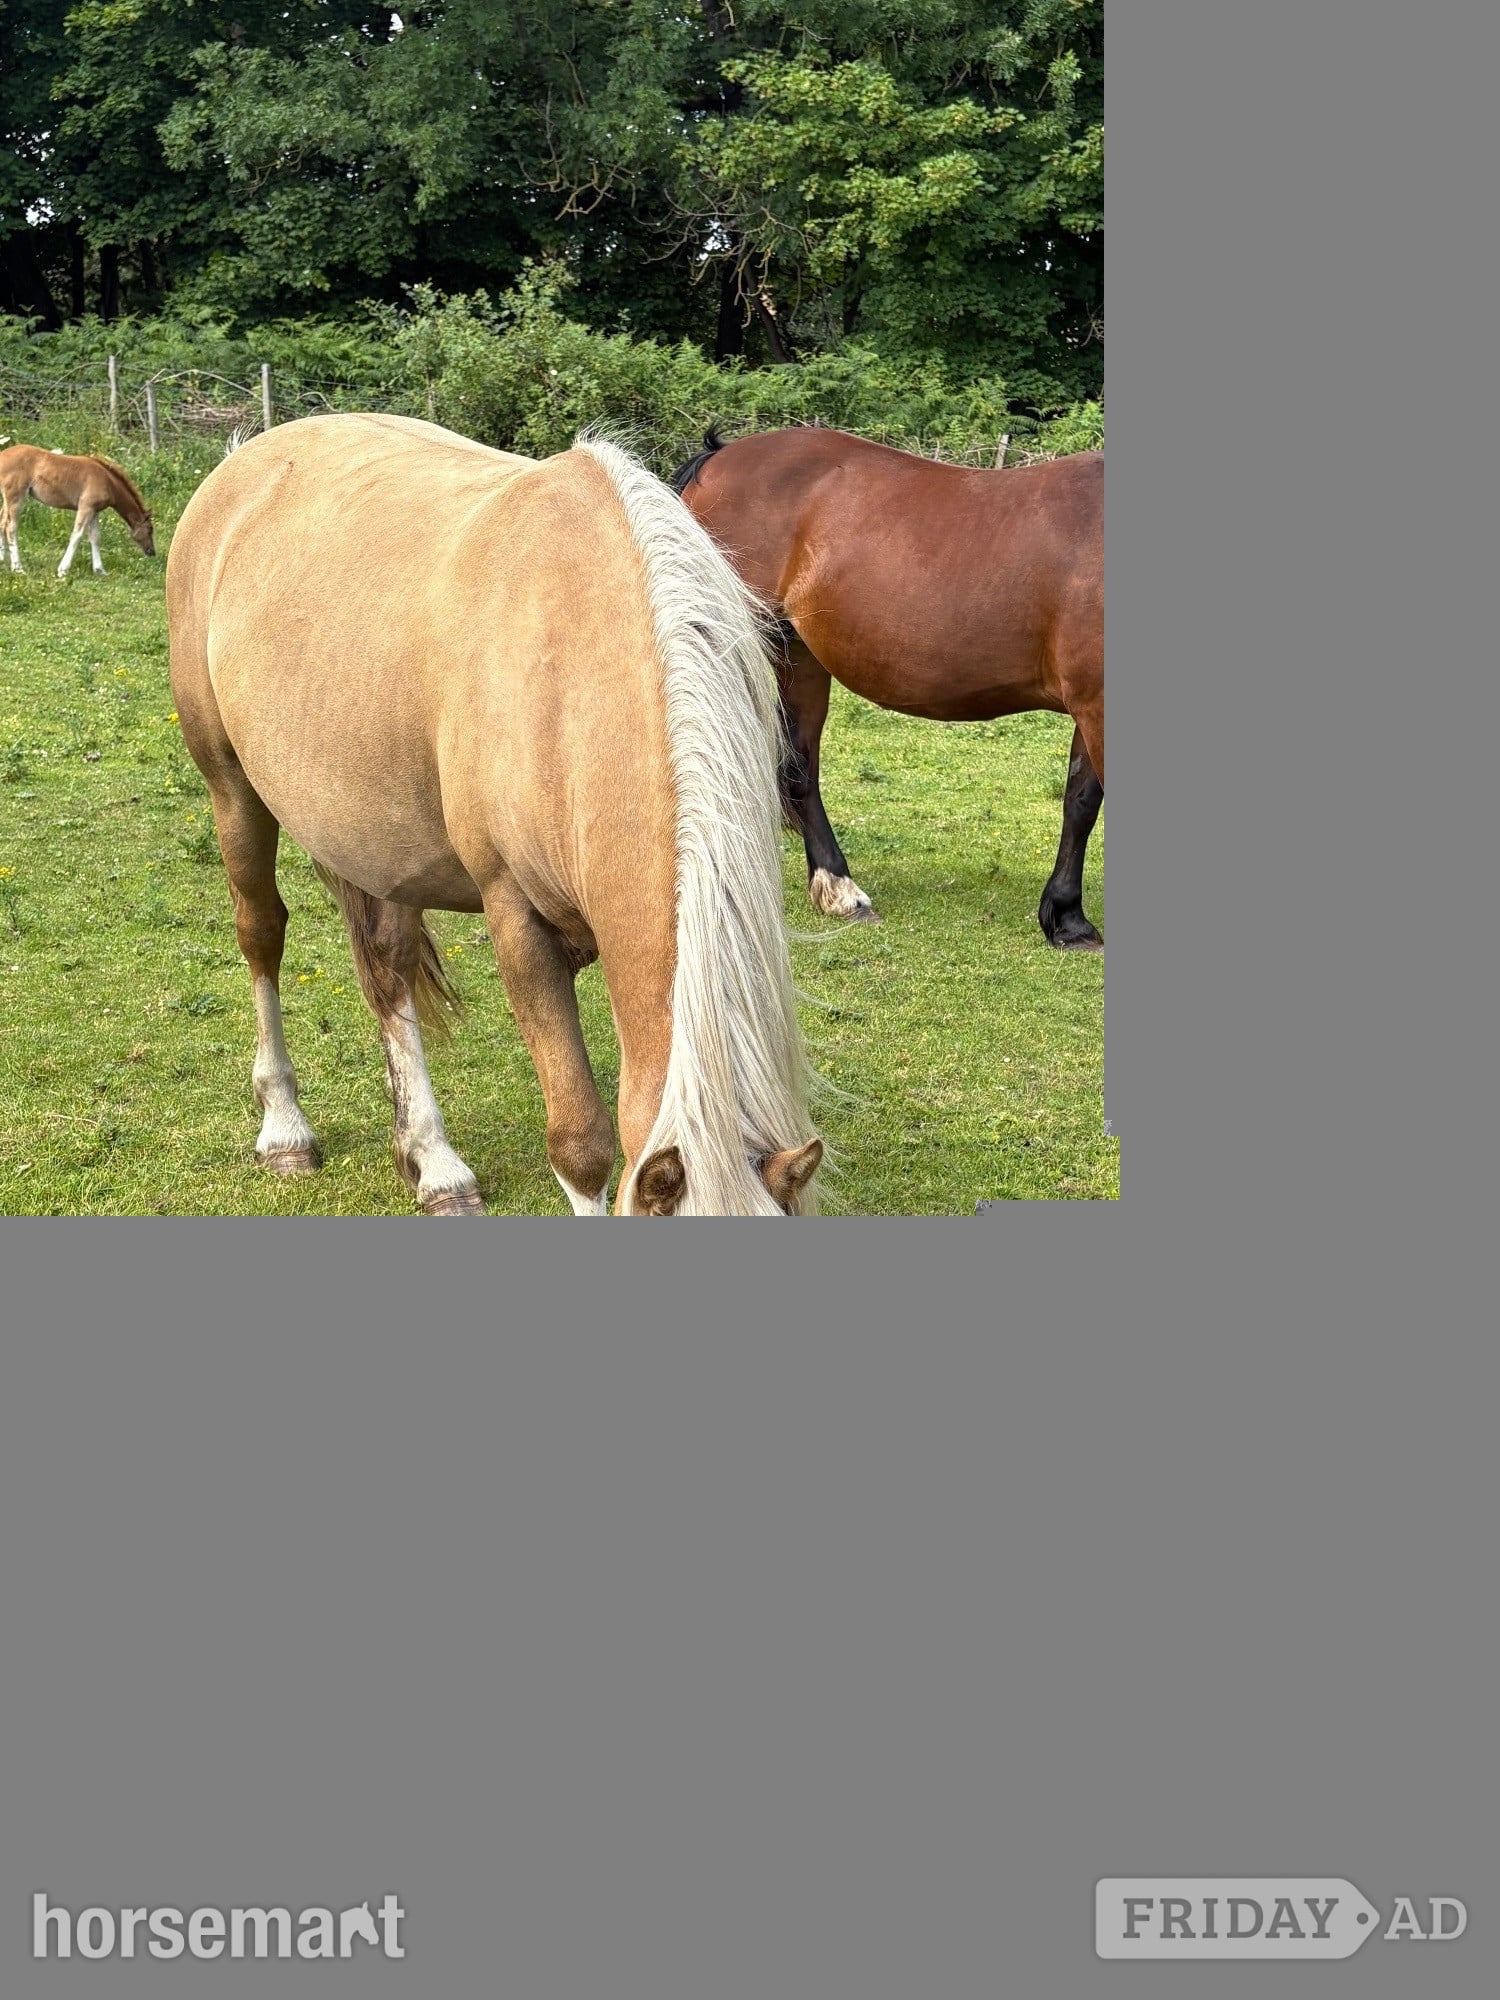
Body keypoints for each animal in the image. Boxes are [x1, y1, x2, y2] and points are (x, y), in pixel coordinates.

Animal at [0, 444, 156, 577]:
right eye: (149, 529)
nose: (152, 552)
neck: (108, 482)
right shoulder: (86, 507)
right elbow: (77, 535)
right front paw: (63, 570)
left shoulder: (94, 511)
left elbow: (95, 537)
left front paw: (100, 570)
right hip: (15, 496)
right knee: (11, 527)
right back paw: (18, 568)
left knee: (2, 523)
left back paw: (2, 559)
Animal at [166, 413, 823, 1216]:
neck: (574, 667)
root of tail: (242, 461)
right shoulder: (518, 921)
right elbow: (581, 1145)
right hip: (231, 788)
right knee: (261, 934)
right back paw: (285, 1127)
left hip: (380, 843)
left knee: (388, 971)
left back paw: (433, 1161)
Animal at [672, 426, 1103, 948]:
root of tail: (716, 461)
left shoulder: (1090, 707)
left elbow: (1080, 801)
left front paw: (1067, 917)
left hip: (798, 655)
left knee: (798, 768)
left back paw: (837, 888)